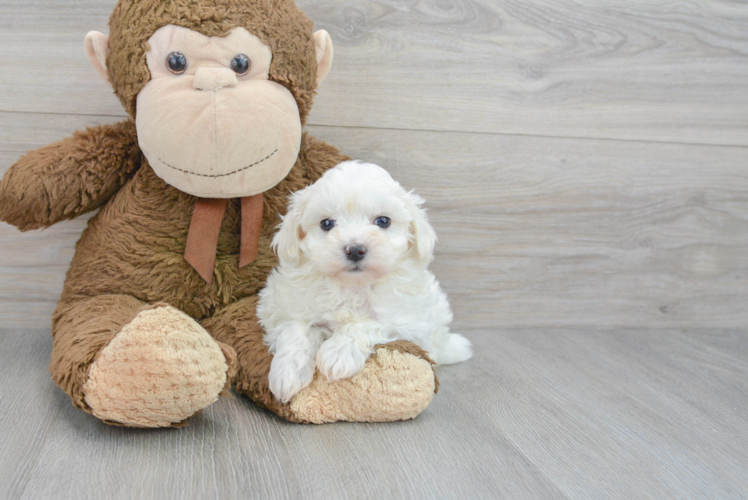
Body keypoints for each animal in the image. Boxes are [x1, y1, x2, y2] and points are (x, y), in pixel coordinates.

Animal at [256, 162, 468, 404]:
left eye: (383, 221)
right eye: (327, 224)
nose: (355, 249)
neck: (352, 286)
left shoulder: (408, 323)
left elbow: (369, 323)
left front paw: (338, 354)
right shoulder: (279, 309)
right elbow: (296, 328)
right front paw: (287, 374)